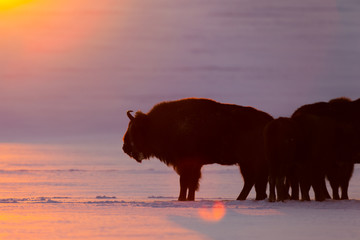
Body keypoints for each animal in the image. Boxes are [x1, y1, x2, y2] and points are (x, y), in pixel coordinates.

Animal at [122, 97, 272, 201]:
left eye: (134, 129)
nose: (125, 147)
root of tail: (268, 120)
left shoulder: (186, 164)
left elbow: (185, 182)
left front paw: (182, 199)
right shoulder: (194, 166)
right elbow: (191, 183)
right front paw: (188, 199)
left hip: (247, 162)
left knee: (251, 181)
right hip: (246, 163)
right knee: (253, 181)